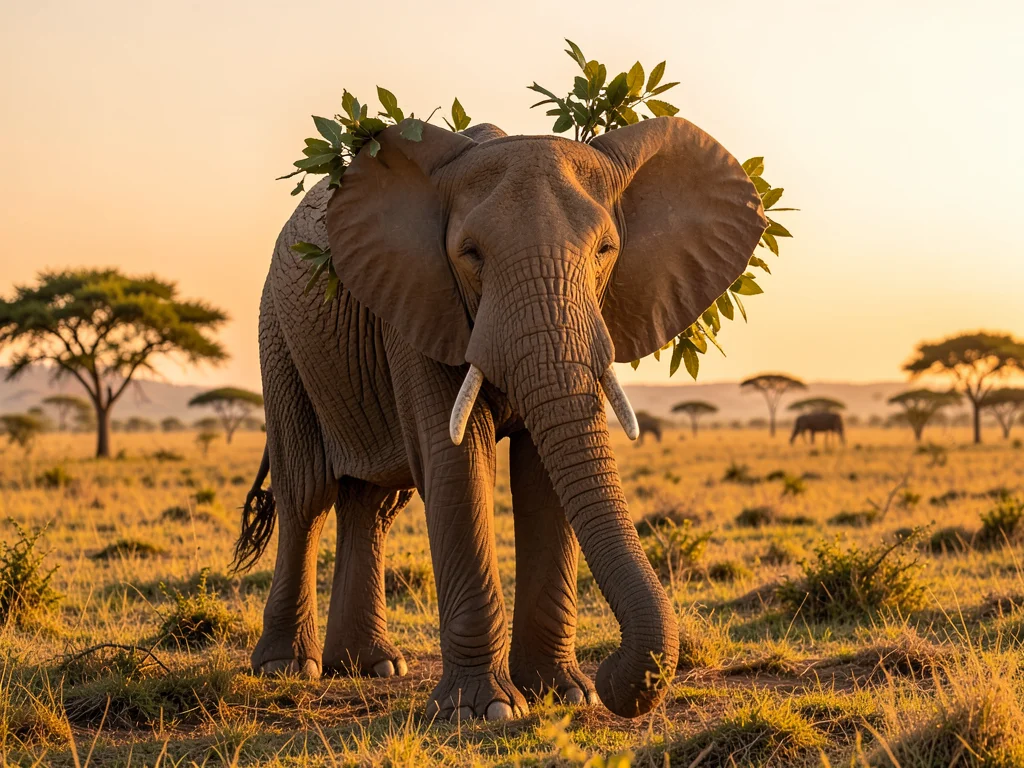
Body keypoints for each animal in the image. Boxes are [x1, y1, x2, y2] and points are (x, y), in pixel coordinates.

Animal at [234, 116, 766, 722]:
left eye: (606, 249)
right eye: (470, 254)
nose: (613, 674)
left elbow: (544, 476)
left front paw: (564, 695)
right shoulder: (423, 302)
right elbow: (458, 463)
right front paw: (482, 712)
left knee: (373, 503)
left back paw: (372, 667)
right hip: (278, 331)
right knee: (308, 494)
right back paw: (286, 667)